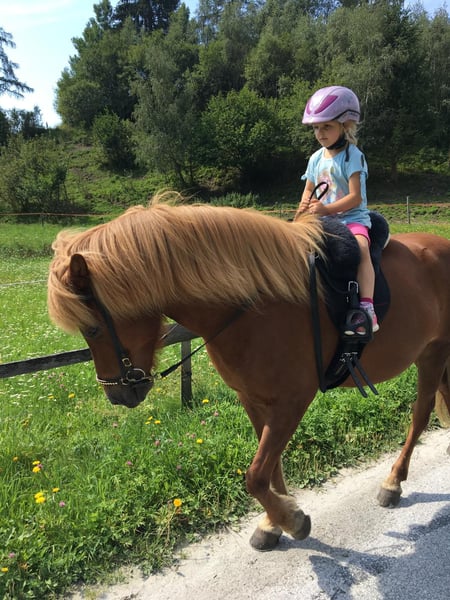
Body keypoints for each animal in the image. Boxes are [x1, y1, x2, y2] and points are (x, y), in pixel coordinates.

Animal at [47, 199, 450, 551]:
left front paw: (292, 520)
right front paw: (274, 522)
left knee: (420, 413)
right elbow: (270, 468)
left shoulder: (292, 400)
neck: (255, 304)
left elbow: (255, 476)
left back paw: (392, 483)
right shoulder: (254, 399)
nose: (117, 395)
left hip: (434, 352)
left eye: (93, 329)